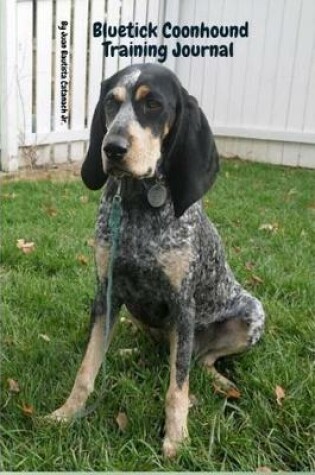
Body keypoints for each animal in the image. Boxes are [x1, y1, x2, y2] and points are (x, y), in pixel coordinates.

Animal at [48, 63, 266, 458]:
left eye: (153, 104)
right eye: (111, 103)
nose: (112, 148)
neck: (139, 200)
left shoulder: (183, 306)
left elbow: (176, 390)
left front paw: (176, 439)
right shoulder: (105, 294)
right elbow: (86, 369)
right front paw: (67, 413)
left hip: (251, 315)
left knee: (197, 360)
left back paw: (217, 378)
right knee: (161, 348)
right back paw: (128, 351)